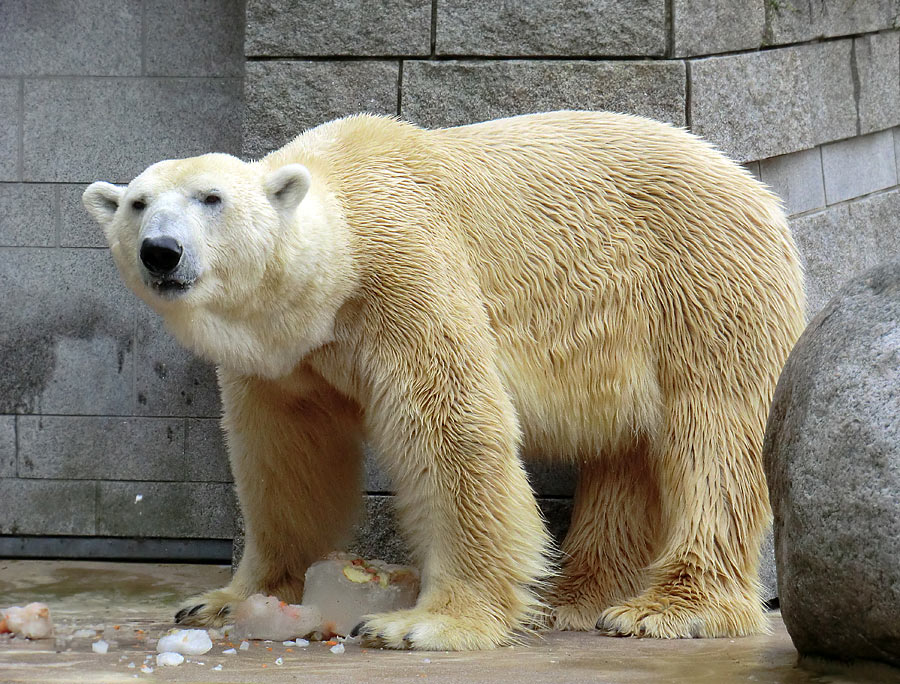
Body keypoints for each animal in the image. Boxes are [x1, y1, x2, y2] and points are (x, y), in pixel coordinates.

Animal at [81, 112, 804, 652]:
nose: (162, 252)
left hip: (700, 283)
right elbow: (285, 461)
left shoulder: (405, 271)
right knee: (625, 450)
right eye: (138, 203)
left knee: (712, 439)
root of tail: (757, 189)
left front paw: (422, 622)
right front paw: (226, 600)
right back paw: (574, 596)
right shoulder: (286, 359)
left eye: (212, 198)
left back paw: (666, 608)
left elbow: (451, 424)